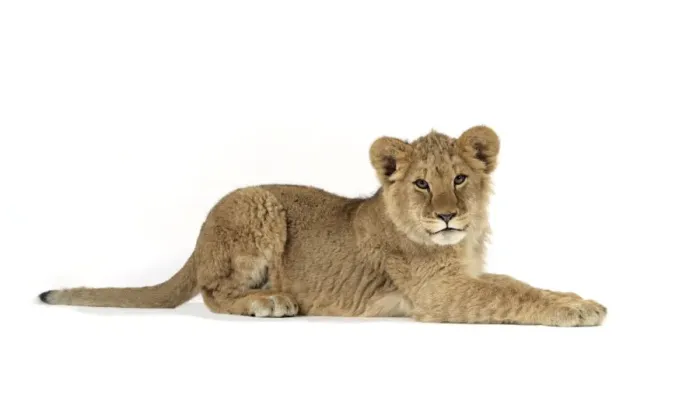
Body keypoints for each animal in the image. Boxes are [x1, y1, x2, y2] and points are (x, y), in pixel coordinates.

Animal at [38, 126, 606, 326]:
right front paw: (577, 311)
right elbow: (509, 294)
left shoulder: (463, 275)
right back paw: (269, 302)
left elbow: (519, 283)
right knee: (214, 293)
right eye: (422, 184)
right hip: (255, 204)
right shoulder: (436, 292)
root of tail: (200, 237)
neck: (458, 242)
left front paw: (575, 297)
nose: (446, 214)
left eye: (460, 178)